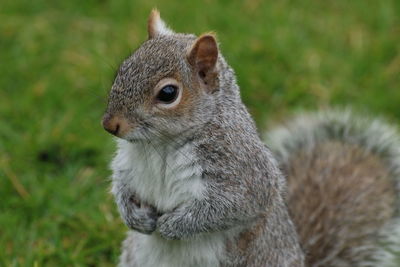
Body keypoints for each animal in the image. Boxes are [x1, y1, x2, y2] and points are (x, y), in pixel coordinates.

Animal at [102, 8, 400, 267]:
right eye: (122, 69)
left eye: (168, 93)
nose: (109, 125)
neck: (161, 144)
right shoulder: (127, 165)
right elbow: (121, 186)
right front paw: (134, 217)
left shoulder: (242, 169)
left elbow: (231, 206)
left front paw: (173, 225)